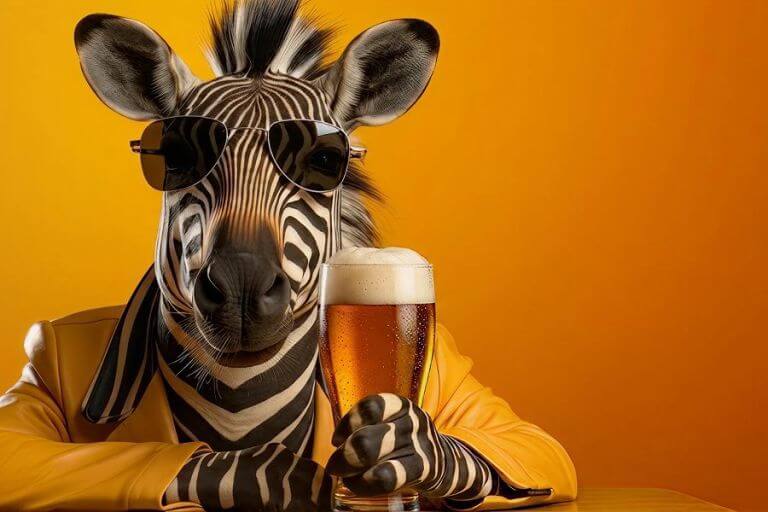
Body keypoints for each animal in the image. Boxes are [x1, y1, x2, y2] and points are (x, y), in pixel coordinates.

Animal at [74, 0, 511, 510]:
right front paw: (292, 479)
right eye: (178, 157)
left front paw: (406, 449)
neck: (238, 409)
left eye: (322, 161)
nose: (241, 288)